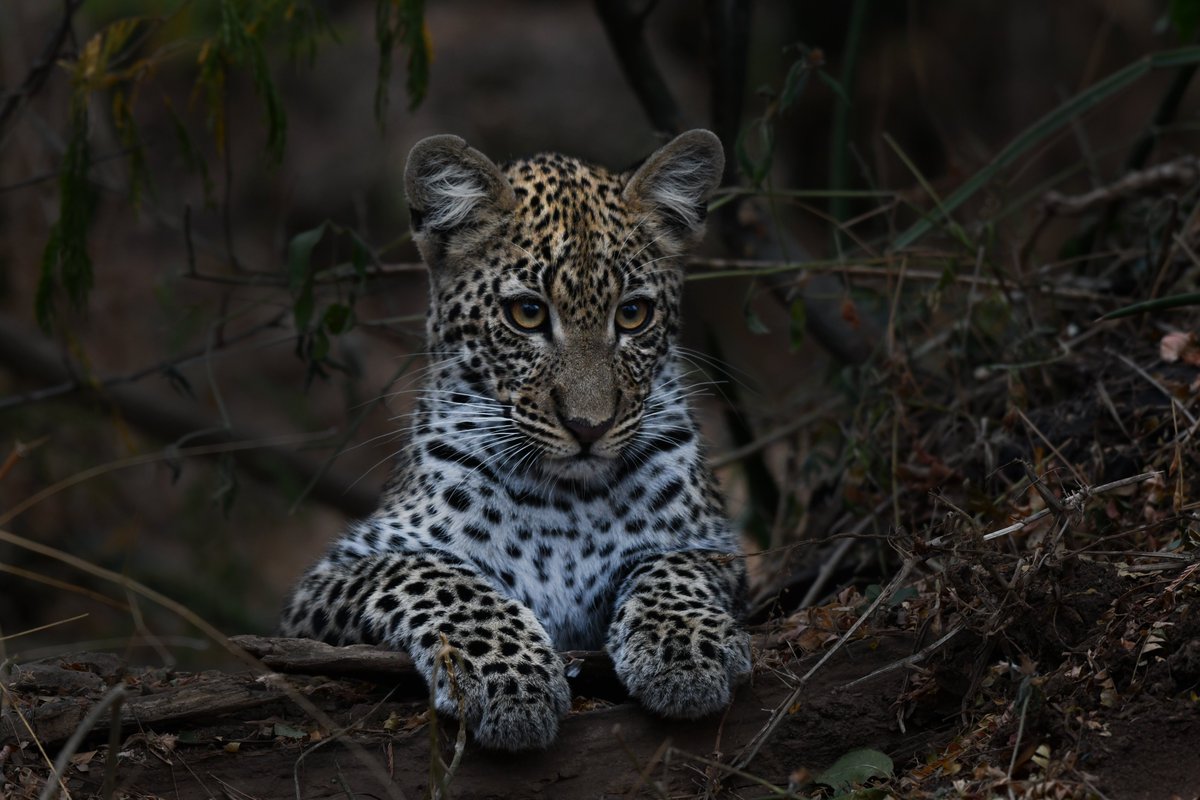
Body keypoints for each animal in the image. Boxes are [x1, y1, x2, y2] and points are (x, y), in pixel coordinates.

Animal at [279, 129, 751, 751]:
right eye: (527, 313)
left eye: (633, 314)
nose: (589, 426)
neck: (568, 501)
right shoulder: (329, 579)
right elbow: (433, 574)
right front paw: (508, 679)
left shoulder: (714, 547)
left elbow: (671, 566)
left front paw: (686, 647)